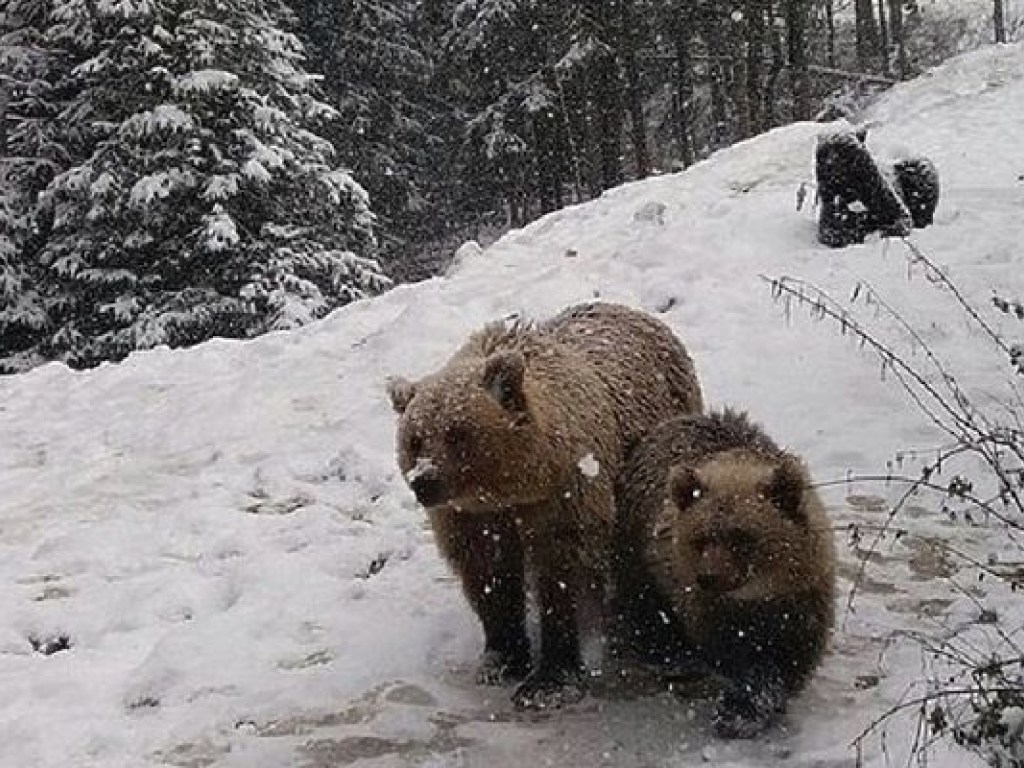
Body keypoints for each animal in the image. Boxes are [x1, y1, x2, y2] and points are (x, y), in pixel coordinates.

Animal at [385, 301, 704, 708]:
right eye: (414, 439)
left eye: (457, 433)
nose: (424, 481)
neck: (514, 486)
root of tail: (635, 312)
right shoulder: (471, 516)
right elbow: (488, 574)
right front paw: (501, 658)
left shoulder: (566, 494)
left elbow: (562, 571)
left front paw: (549, 679)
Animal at [610, 409, 835, 741]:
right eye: (701, 538)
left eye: (741, 537)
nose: (709, 576)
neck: (757, 595)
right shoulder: (708, 608)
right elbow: (738, 657)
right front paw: (743, 710)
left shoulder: (803, 599)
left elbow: (795, 653)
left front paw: (760, 706)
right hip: (637, 549)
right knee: (646, 608)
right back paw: (672, 657)